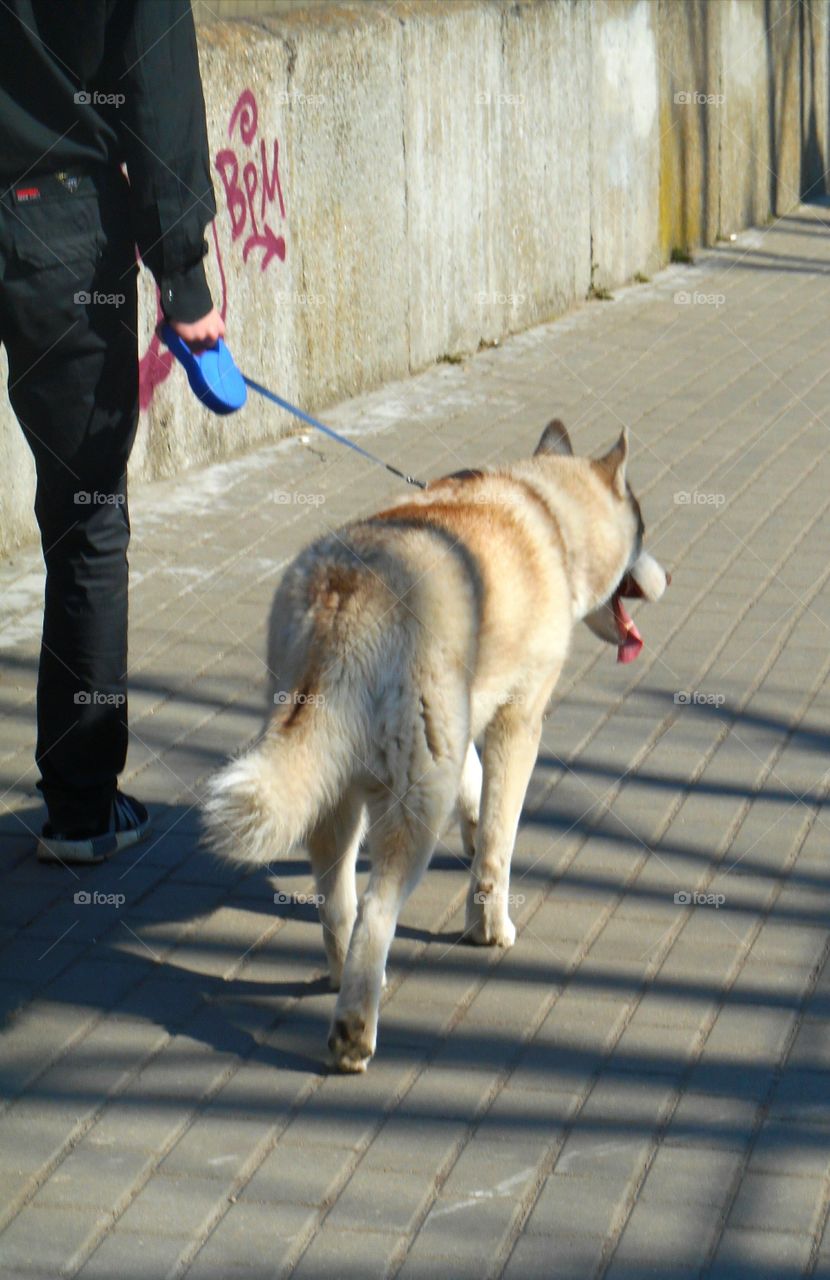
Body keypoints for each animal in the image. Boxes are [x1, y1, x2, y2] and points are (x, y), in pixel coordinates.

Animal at [203, 419, 671, 1070]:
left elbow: (475, 792)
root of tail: (347, 590)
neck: (551, 517)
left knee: (339, 905)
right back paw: (354, 1031)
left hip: (336, 787)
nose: (669, 577)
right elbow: (498, 842)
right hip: (413, 804)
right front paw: (489, 925)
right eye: (643, 530)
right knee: (376, 913)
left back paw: (342, 977)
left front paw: (470, 834)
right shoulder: (517, 722)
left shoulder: (461, 720)